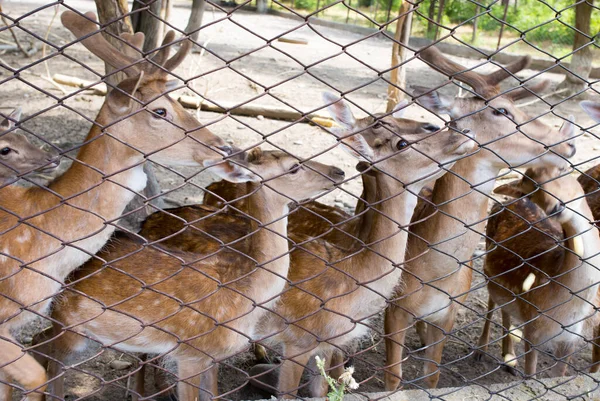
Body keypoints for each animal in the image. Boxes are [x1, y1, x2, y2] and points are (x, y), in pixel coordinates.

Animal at [37, 148, 344, 400]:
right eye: (294, 166)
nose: (338, 171)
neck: (243, 291)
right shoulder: (190, 353)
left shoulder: (210, 357)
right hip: (70, 323)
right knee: (48, 356)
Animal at [382, 45, 580, 390]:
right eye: (501, 111)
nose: (569, 143)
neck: (431, 274)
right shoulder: (393, 310)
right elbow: (392, 377)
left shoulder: (448, 313)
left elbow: (433, 375)